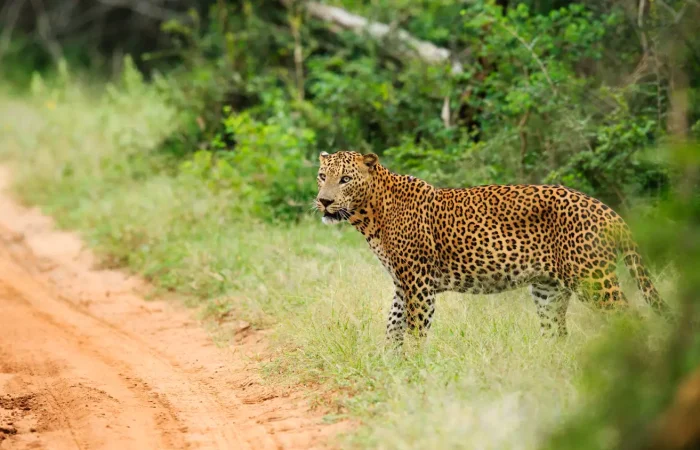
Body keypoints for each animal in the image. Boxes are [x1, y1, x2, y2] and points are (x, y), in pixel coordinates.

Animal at [314, 149, 668, 342]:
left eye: (345, 179)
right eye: (321, 176)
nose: (324, 201)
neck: (370, 214)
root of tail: (608, 211)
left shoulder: (419, 283)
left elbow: (415, 330)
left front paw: (415, 369)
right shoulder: (403, 284)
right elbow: (392, 326)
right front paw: (390, 366)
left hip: (593, 280)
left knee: (632, 318)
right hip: (548, 289)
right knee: (556, 333)